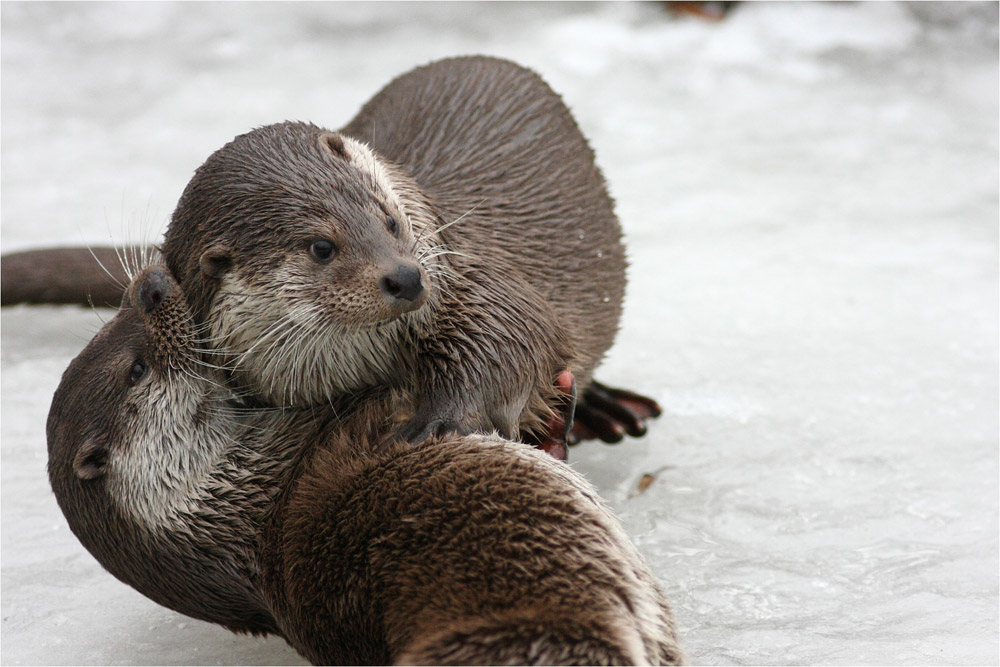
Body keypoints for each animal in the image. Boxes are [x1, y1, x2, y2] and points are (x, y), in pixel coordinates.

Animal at [158, 54, 656, 446]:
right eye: (322, 247)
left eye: (389, 220)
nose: (406, 277)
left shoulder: (471, 281)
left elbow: (517, 329)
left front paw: (441, 421)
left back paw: (605, 412)